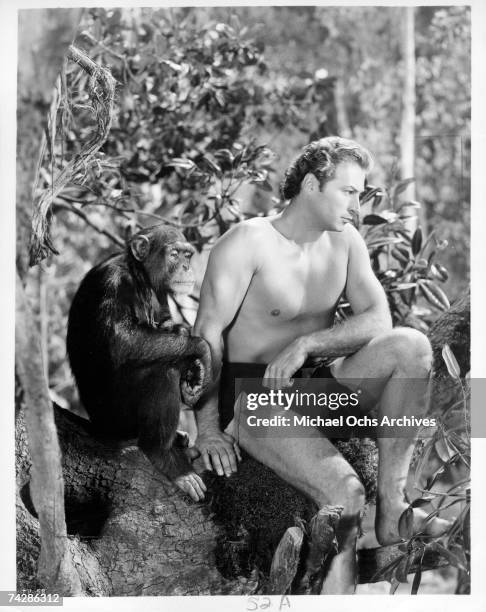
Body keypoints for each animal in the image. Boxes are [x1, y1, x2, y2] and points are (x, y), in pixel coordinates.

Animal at [67, 225, 212, 502]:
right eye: (174, 254)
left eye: (187, 255)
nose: (186, 266)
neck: (140, 277)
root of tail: (96, 425)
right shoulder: (112, 281)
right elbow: (122, 340)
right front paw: (202, 351)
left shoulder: (161, 296)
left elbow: (168, 325)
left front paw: (195, 368)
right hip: (117, 422)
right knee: (163, 371)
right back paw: (164, 456)